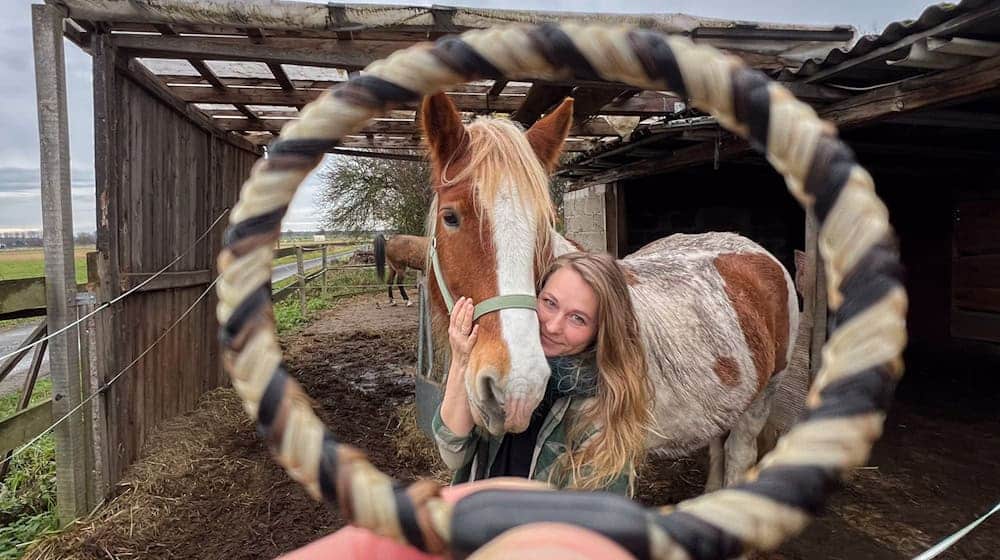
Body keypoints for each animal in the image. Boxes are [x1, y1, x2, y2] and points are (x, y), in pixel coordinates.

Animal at [420, 91, 807, 490]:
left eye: (544, 225)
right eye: (450, 217)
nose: (518, 389)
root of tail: (758, 253)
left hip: (763, 397)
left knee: (739, 453)